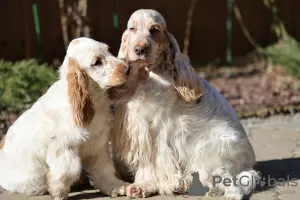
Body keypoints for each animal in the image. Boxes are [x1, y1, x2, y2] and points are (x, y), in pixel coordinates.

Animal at [0, 37, 131, 200]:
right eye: (96, 62)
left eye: (109, 51)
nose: (127, 69)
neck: (95, 99)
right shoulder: (63, 147)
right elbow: (70, 169)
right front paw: (59, 192)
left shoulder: (98, 143)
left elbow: (104, 167)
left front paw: (115, 187)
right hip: (33, 182)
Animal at [110, 9, 260, 200]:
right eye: (132, 28)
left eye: (155, 30)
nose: (139, 49)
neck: (145, 77)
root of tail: (250, 163)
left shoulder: (156, 130)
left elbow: (153, 161)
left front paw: (144, 186)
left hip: (210, 150)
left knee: (221, 181)